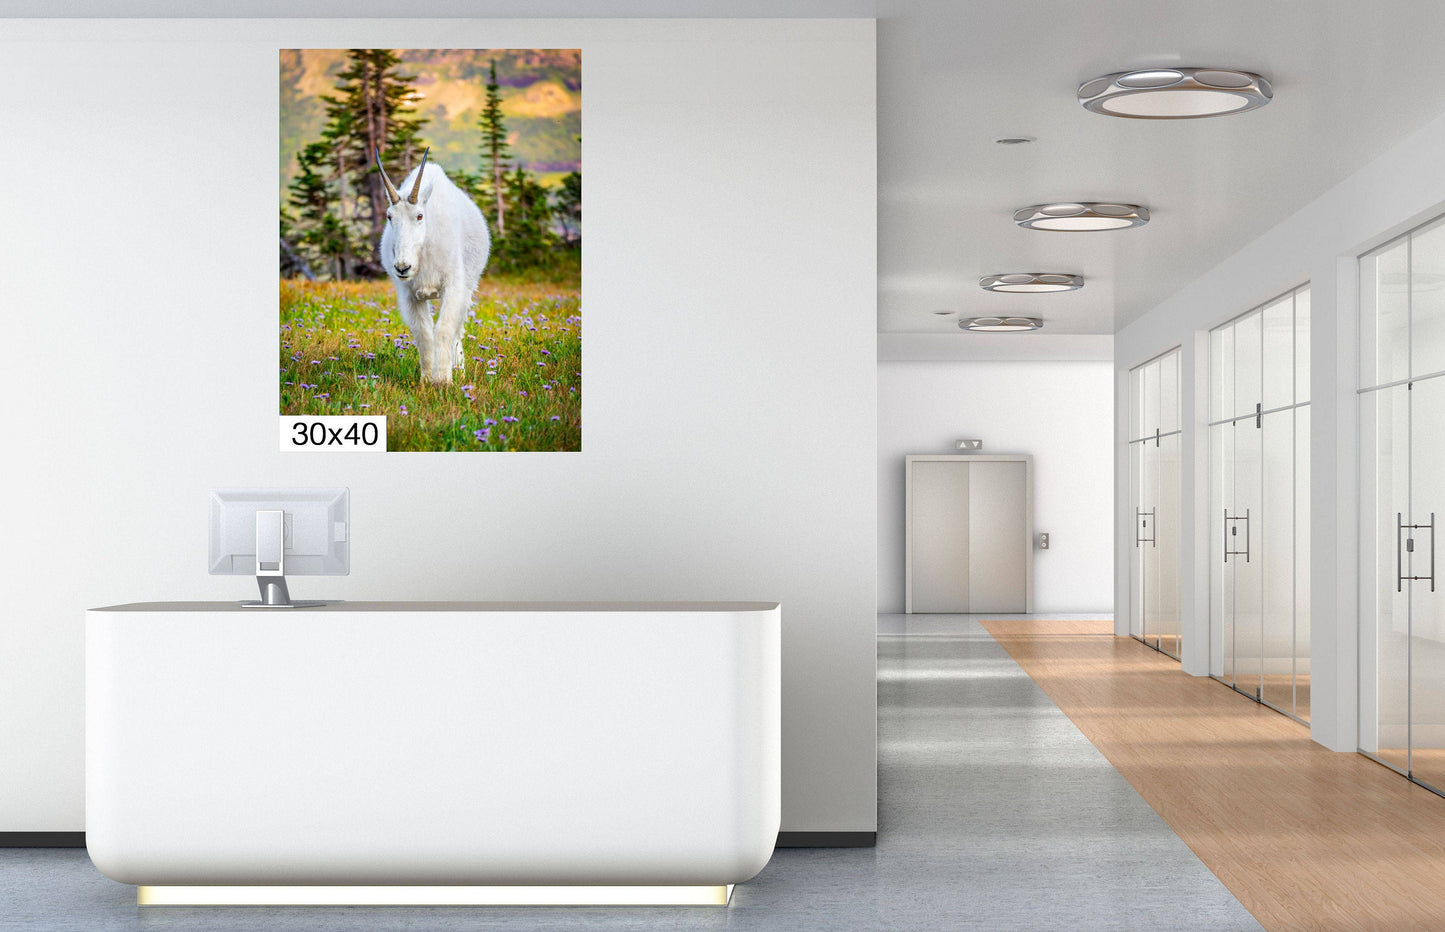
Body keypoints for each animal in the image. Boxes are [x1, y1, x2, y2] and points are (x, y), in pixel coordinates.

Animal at [376, 148, 492, 384]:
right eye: (389, 216)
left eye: (419, 215)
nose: (402, 268)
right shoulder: (410, 295)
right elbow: (424, 333)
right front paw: (426, 381)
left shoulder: (453, 287)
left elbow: (444, 329)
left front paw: (443, 381)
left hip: (468, 287)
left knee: (458, 329)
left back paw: (459, 370)